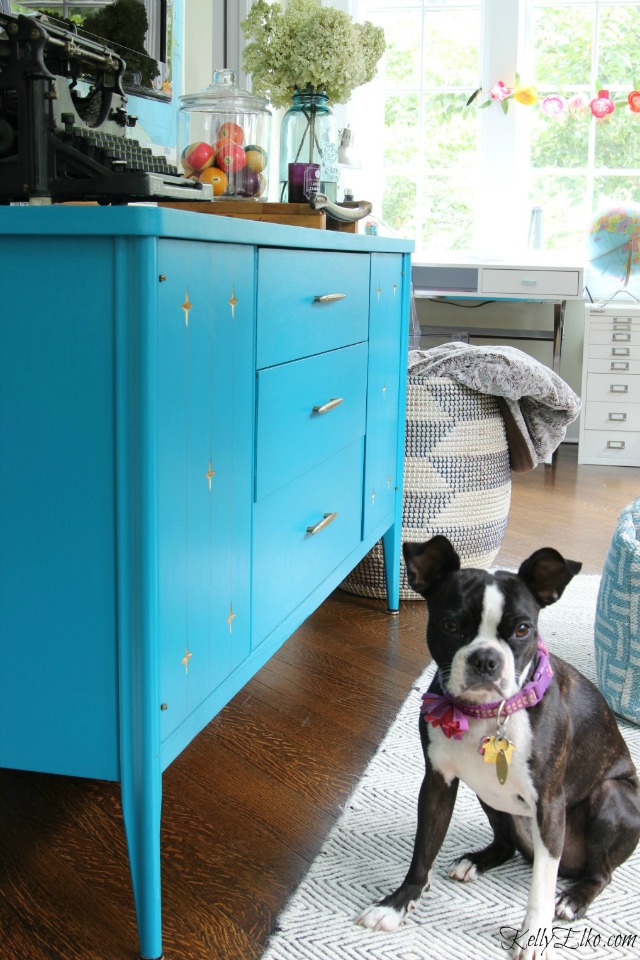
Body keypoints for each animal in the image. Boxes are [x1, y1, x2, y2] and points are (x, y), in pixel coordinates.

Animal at [358, 536, 640, 956]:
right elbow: (422, 851)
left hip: (611, 798)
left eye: (523, 629)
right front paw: (396, 904)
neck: (488, 713)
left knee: (600, 872)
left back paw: (575, 898)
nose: (486, 659)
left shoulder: (549, 806)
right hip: (488, 795)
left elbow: (541, 886)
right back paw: (477, 860)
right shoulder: (437, 784)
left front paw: (533, 934)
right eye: (451, 626)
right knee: (506, 843)